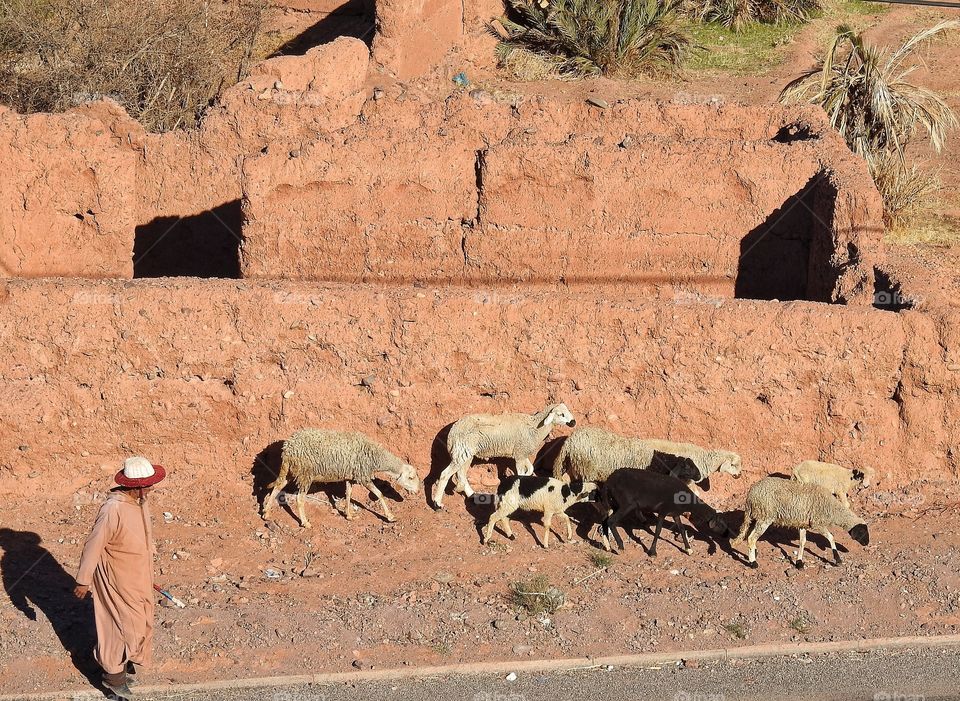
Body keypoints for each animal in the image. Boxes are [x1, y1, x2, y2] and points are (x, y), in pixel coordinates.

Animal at [261, 429, 420, 528]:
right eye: (411, 477)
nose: (418, 491)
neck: (375, 456)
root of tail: (288, 448)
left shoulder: (351, 477)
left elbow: (348, 494)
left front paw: (348, 515)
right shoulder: (363, 476)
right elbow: (379, 494)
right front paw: (390, 516)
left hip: (290, 471)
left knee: (278, 486)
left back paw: (266, 513)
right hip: (305, 474)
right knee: (300, 498)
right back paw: (305, 523)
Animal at [431, 403, 576, 509]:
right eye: (561, 414)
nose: (573, 422)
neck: (534, 427)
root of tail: (453, 431)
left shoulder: (521, 453)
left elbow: (530, 469)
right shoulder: (519, 454)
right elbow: (521, 473)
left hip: (465, 454)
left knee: (461, 474)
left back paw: (471, 494)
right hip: (462, 452)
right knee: (445, 474)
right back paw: (437, 503)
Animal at [597, 468, 733, 555]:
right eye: (721, 524)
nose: (727, 534)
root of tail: (609, 480)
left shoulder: (675, 514)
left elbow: (682, 529)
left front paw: (688, 549)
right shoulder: (663, 511)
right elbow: (658, 530)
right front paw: (652, 551)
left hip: (615, 503)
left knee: (605, 520)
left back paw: (608, 546)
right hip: (626, 504)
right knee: (611, 521)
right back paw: (620, 546)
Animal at [733, 476, 869, 569]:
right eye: (863, 532)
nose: (867, 543)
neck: (831, 507)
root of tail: (750, 495)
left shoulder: (803, 523)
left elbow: (802, 542)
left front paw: (799, 562)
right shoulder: (817, 523)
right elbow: (831, 537)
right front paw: (837, 559)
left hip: (757, 516)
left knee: (749, 536)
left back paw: (754, 553)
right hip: (765, 517)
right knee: (751, 538)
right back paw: (753, 563)